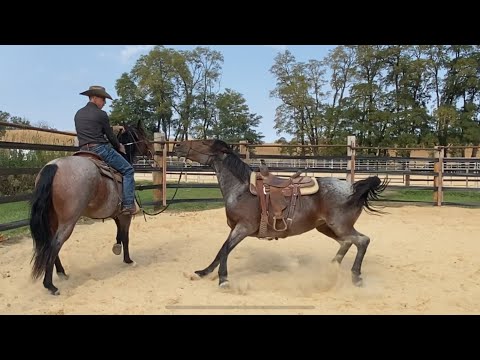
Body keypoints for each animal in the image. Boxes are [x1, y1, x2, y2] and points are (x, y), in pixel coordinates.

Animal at [29, 119, 152, 294]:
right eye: (143, 135)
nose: (151, 151)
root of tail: (54, 166)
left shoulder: (116, 212)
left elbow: (119, 232)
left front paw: (117, 247)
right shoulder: (125, 214)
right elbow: (126, 236)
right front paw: (128, 260)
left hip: (51, 219)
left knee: (50, 244)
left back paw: (62, 273)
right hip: (68, 221)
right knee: (55, 244)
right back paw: (50, 285)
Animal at [174, 139, 388, 288]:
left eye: (204, 142)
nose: (177, 145)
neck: (241, 188)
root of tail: (353, 187)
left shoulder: (243, 228)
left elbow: (225, 249)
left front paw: (223, 280)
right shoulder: (235, 228)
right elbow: (221, 251)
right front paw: (203, 272)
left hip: (340, 226)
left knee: (362, 241)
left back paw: (356, 277)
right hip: (326, 227)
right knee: (347, 243)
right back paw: (331, 269)